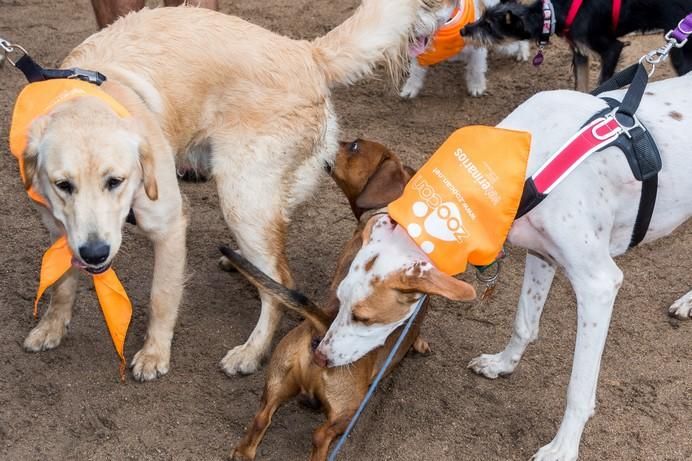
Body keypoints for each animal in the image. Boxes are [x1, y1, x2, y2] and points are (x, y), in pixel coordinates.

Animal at [318, 71, 692, 456]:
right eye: (338, 299)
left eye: (364, 317)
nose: (321, 357)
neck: (529, 164)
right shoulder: (542, 255)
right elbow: (524, 322)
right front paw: (502, 365)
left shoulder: (598, 285)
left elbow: (578, 387)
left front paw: (562, 449)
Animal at [400, 0, 528, 98]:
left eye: (428, 4)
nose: (406, 30)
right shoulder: (420, 53)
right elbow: (415, 71)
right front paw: (410, 89)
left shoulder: (477, 48)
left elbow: (476, 69)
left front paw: (476, 87)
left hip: (502, 43)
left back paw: (523, 52)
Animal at [460, 0, 692, 90]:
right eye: (482, 17)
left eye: (489, 26)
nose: (464, 30)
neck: (551, 14)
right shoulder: (580, 53)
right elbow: (580, 86)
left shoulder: (612, 49)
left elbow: (602, 83)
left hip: (679, 52)